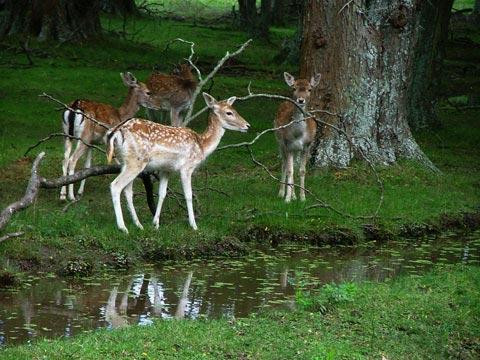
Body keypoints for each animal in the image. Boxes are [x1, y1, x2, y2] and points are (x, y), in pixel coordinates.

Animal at [59, 72, 158, 202]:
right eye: (148, 92)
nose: (158, 105)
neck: (120, 115)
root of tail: (75, 106)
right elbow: (118, 161)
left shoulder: (92, 142)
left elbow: (87, 166)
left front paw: (80, 192)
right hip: (84, 136)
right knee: (72, 160)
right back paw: (71, 196)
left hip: (67, 134)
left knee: (65, 159)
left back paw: (62, 195)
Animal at [104, 92, 248, 233]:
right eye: (229, 112)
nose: (247, 125)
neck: (202, 145)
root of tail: (115, 132)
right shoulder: (187, 167)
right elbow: (188, 195)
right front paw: (194, 225)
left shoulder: (166, 169)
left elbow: (162, 194)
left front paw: (155, 224)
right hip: (136, 161)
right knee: (115, 185)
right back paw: (123, 227)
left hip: (125, 162)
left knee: (128, 191)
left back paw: (138, 225)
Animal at [276, 71, 320, 202]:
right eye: (294, 88)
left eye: (310, 89)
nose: (301, 100)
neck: (298, 134)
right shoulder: (288, 145)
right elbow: (290, 171)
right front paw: (287, 198)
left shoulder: (307, 146)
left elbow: (301, 171)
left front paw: (302, 197)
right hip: (280, 142)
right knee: (284, 165)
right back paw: (281, 193)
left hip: (296, 149)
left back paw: (294, 195)